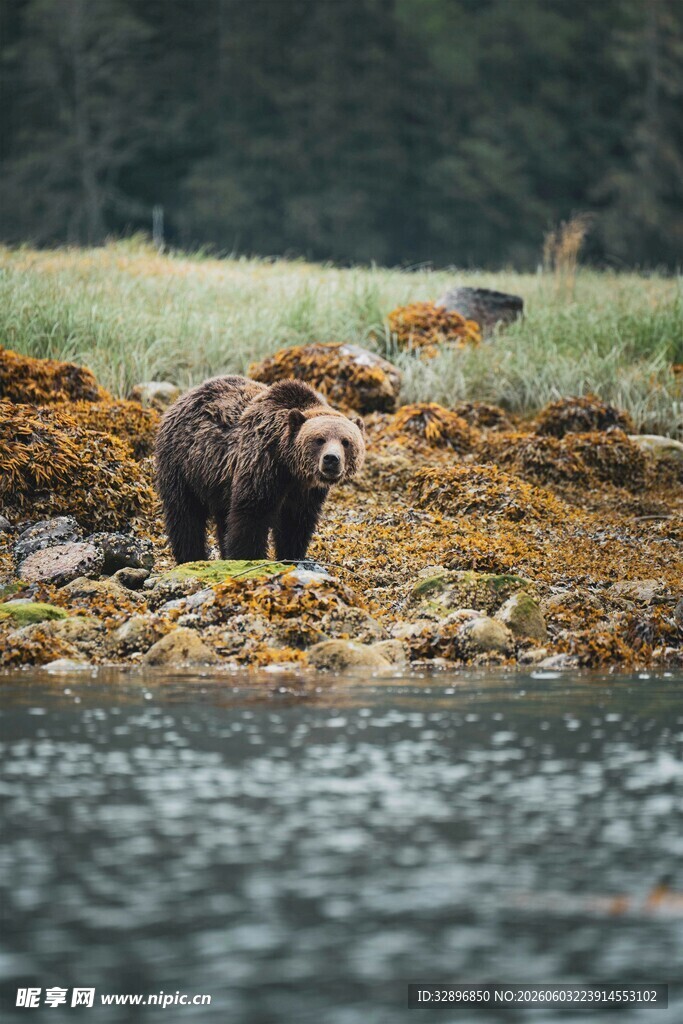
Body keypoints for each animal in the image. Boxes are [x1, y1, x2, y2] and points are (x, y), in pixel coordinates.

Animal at [155, 375, 366, 564]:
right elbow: (251, 514)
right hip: (184, 465)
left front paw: (291, 556)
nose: (331, 459)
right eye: (319, 439)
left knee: (222, 517)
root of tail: (180, 399)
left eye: (346, 441)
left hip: (218, 481)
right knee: (185, 515)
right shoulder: (262, 463)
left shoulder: (306, 492)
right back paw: (191, 557)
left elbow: (295, 524)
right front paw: (248, 558)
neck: (291, 468)